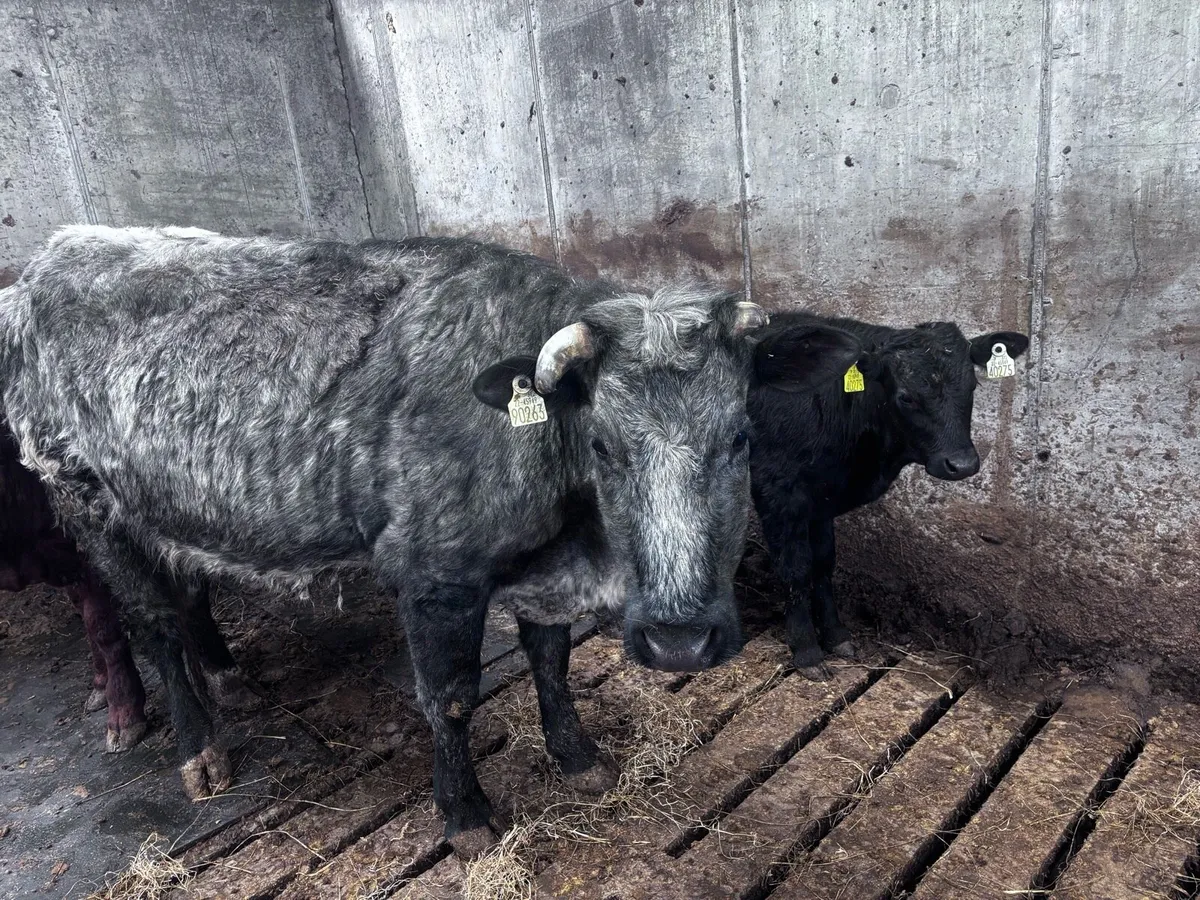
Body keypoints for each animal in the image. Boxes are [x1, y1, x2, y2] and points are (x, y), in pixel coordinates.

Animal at [0, 226, 861, 854]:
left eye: (741, 437)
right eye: (604, 445)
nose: (680, 641)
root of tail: (50, 254)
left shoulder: (542, 576)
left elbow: (552, 661)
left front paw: (578, 758)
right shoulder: (433, 575)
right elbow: (448, 698)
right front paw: (466, 815)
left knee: (186, 597)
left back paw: (225, 677)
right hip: (86, 498)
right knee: (152, 622)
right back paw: (197, 749)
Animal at [747, 312, 1029, 677]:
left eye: (973, 386)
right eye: (906, 397)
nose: (962, 464)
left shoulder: (821, 499)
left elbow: (823, 563)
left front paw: (836, 635)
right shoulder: (779, 492)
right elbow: (795, 570)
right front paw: (807, 651)